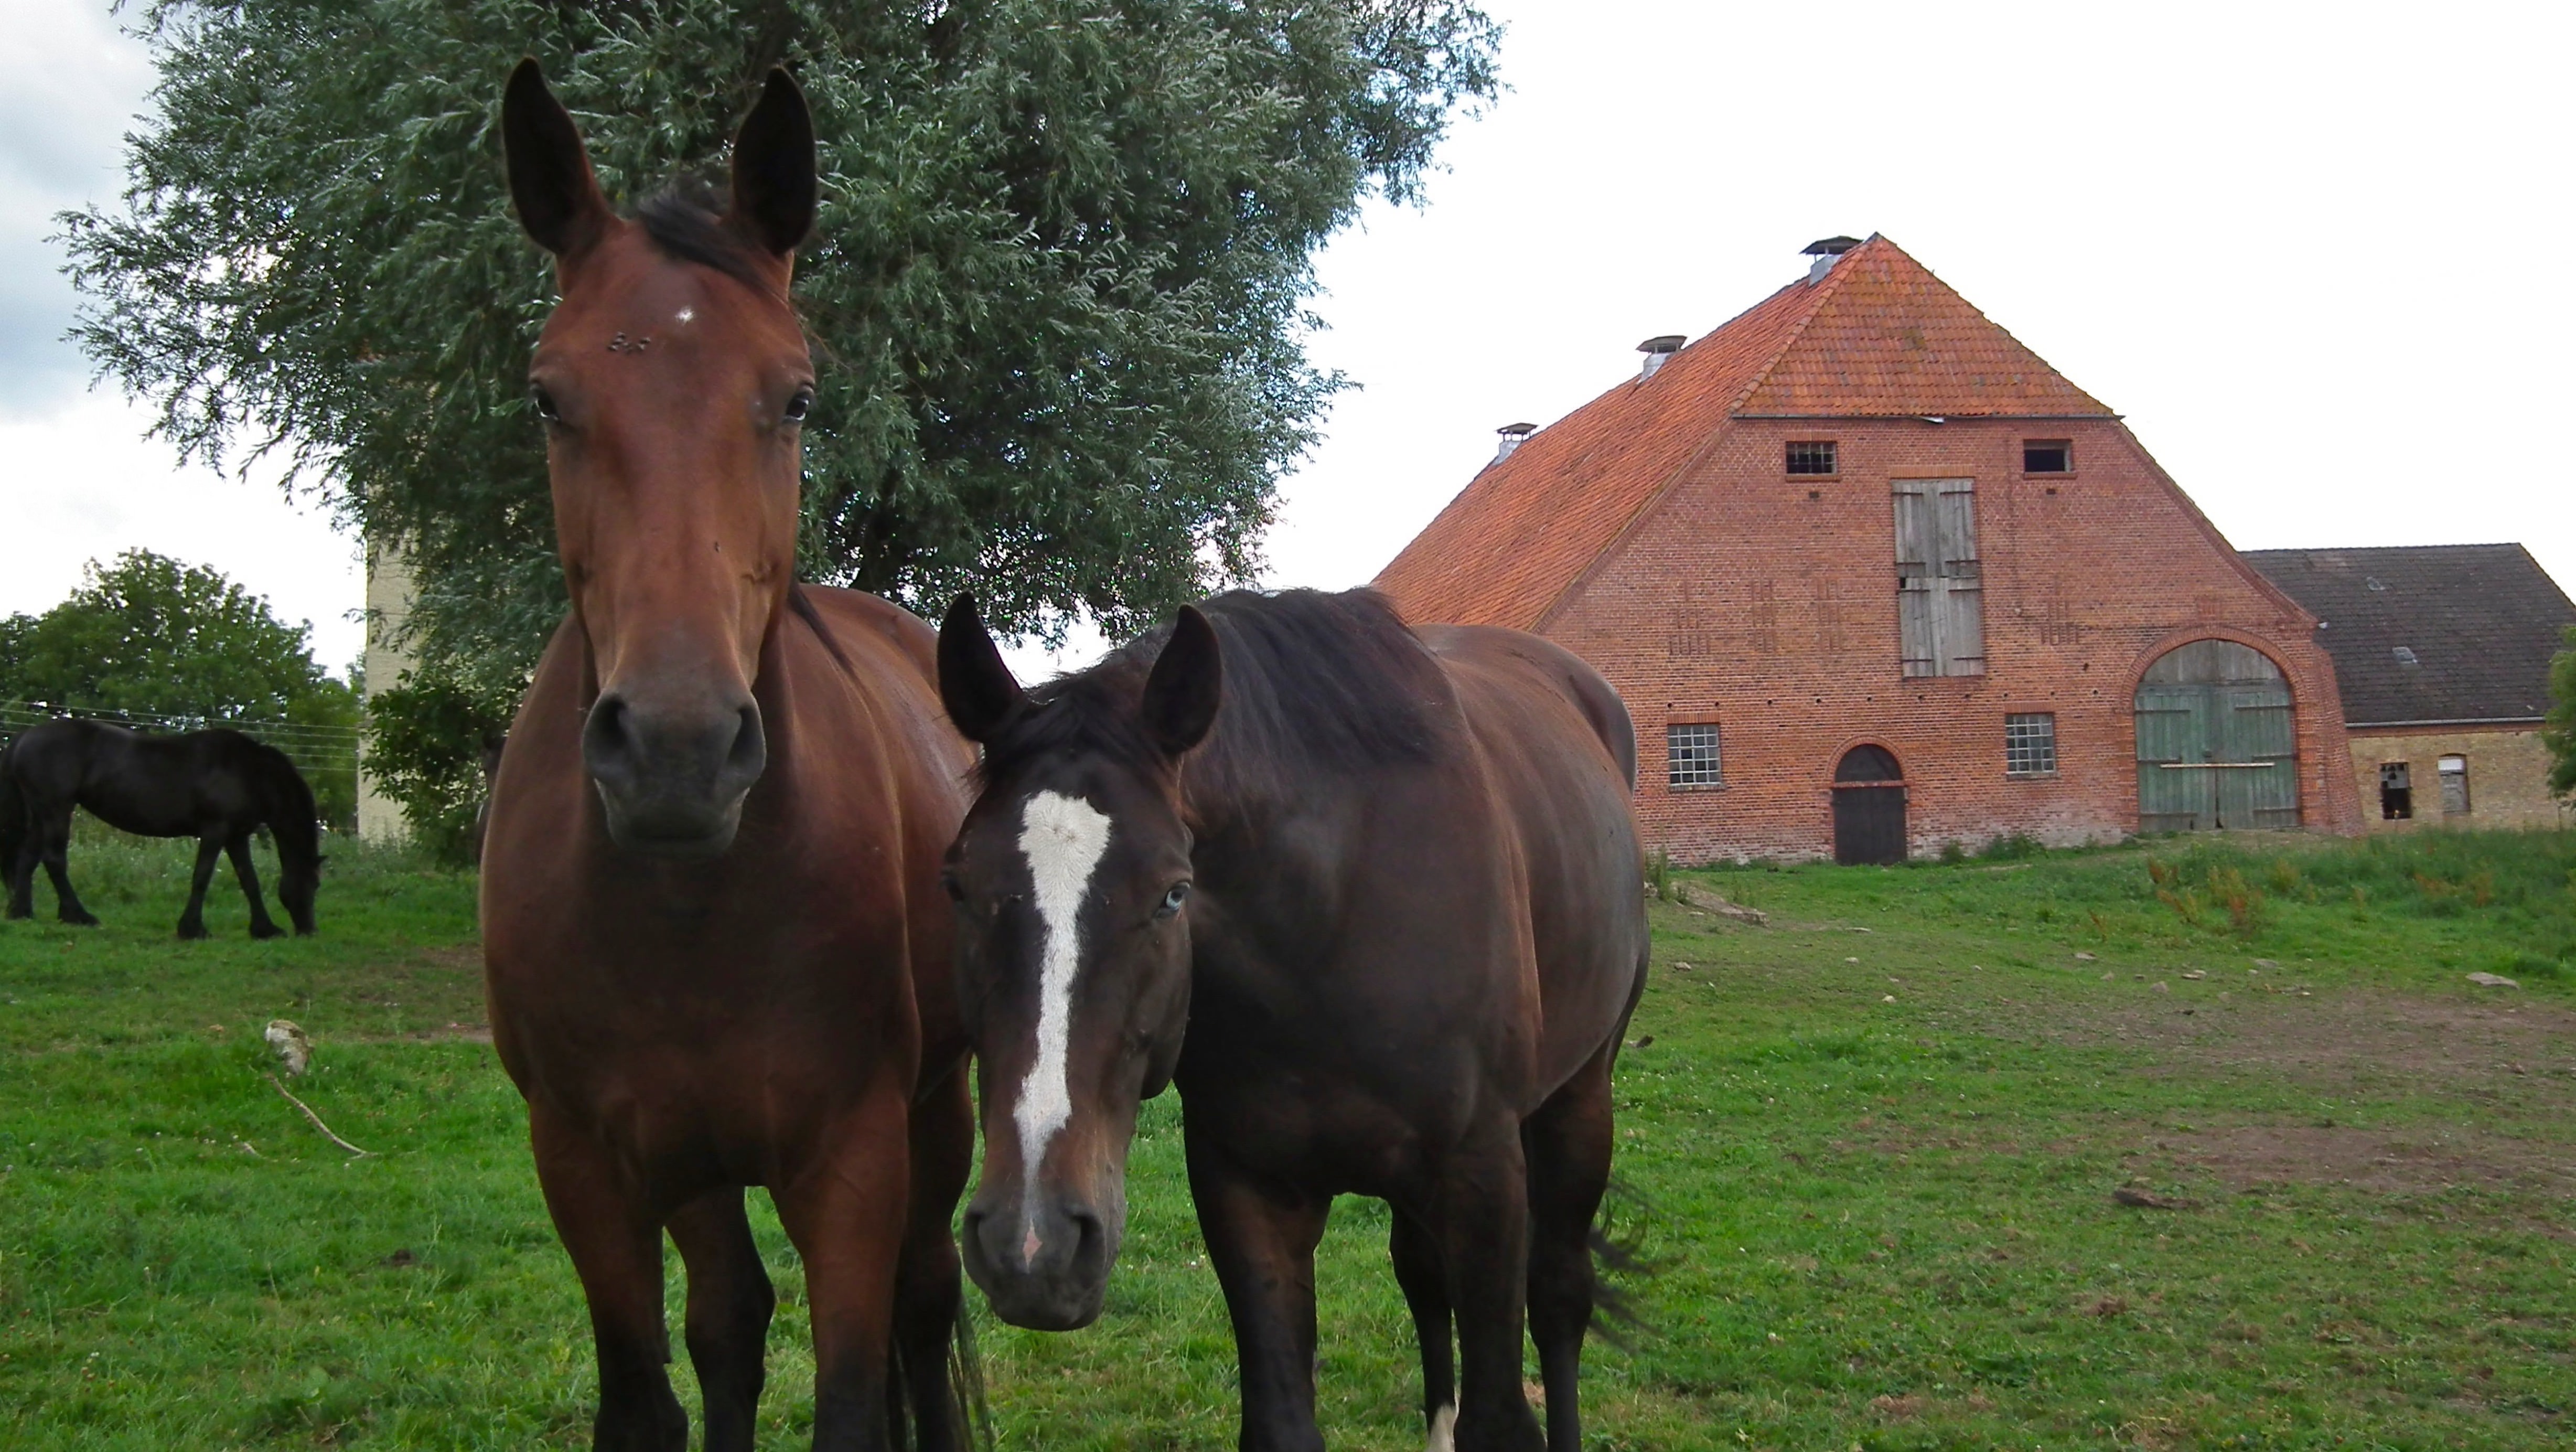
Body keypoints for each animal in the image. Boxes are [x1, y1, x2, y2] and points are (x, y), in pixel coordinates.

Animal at [1, 717, 320, 939]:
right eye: (315, 884)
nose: (309, 930)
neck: (250, 772)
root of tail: (25, 735)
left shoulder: (237, 836)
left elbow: (249, 881)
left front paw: (265, 929)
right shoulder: (215, 831)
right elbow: (202, 877)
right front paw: (193, 929)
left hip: (42, 815)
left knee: (27, 860)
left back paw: (22, 912)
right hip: (56, 811)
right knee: (54, 861)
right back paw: (78, 916)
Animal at [479, 63, 977, 1452]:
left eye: (794, 394)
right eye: (547, 396)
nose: (677, 749)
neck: (689, 908)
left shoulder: (853, 1158)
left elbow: (859, 1388)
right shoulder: (589, 1165)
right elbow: (657, 1386)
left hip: (940, 1109)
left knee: (924, 1303)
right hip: (693, 1163)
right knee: (732, 1321)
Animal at [936, 587, 1651, 1452]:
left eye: (1173, 892)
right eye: (958, 885)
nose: (1033, 1244)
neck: (1332, 913)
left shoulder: (1483, 1174)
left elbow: (1503, 1414)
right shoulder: (1246, 1185)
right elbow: (1284, 1415)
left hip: (1579, 1101)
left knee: (1559, 1296)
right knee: (1423, 1277)